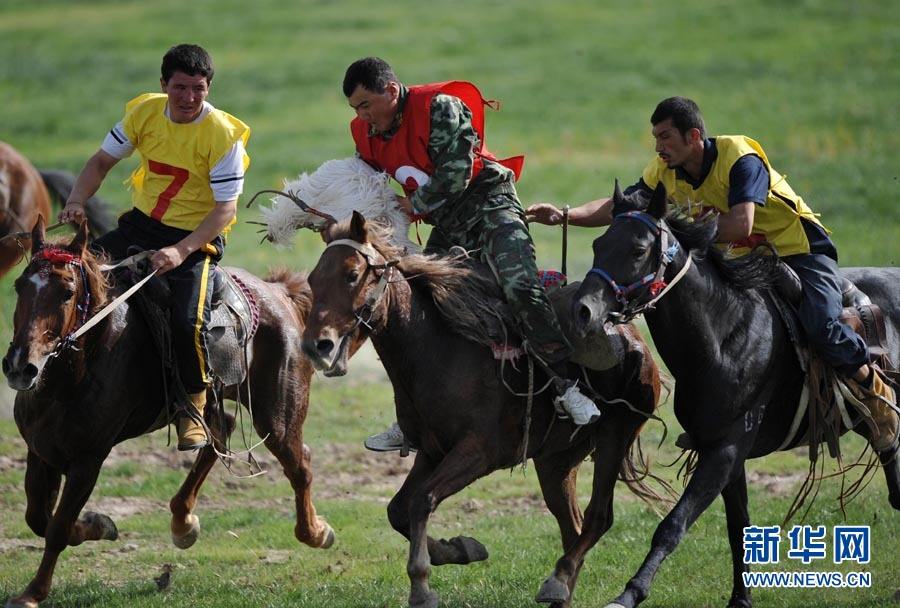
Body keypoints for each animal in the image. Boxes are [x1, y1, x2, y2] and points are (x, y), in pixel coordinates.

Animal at [2, 218, 356, 608]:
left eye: (66, 292)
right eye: (20, 286)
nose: (20, 366)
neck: (71, 378)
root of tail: (279, 293)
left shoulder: (87, 461)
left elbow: (58, 527)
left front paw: (32, 593)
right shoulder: (41, 451)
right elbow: (38, 517)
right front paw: (98, 524)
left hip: (278, 417)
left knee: (299, 464)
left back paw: (315, 532)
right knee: (219, 432)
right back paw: (183, 521)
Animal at [302, 211, 660, 604]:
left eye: (352, 274)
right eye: (312, 278)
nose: (316, 345)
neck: (440, 349)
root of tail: (635, 341)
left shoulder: (478, 452)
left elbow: (421, 501)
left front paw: (423, 585)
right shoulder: (431, 452)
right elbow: (399, 509)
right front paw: (458, 549)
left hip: (614, 437)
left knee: (598, 518)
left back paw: (557, 580)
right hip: (556, 461)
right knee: (573, 527)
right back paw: (561, 589)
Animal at [572, 184, 896, 608]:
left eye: (639, 250)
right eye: (598, 243)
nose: (583, 311)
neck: (725, 335)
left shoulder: (725, 449)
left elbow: (673, 524)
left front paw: (629, 593)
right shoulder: (727, 453)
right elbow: (738, 526)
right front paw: (741, 599)